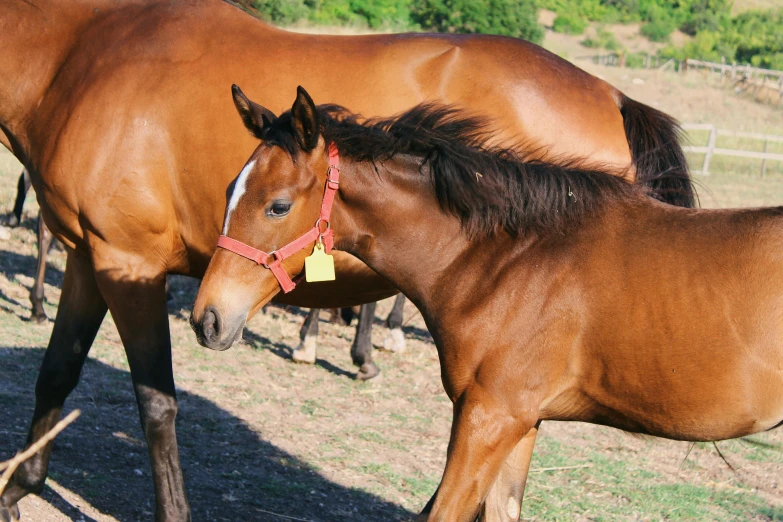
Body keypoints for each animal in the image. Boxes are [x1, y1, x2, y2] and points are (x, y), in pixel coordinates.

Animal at [3, 2, 696, 516]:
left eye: (277, 205)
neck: (80, 54)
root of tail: (612, 94)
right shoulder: (88, 259)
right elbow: (57, 372)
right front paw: (19, 487)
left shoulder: (129, 264)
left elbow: (156, 402)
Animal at [190, 87, 783, 516]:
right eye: (230, 190)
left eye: (277, 205)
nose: (207, 319)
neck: (510, 260)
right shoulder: (522, 422)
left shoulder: (488, 418)